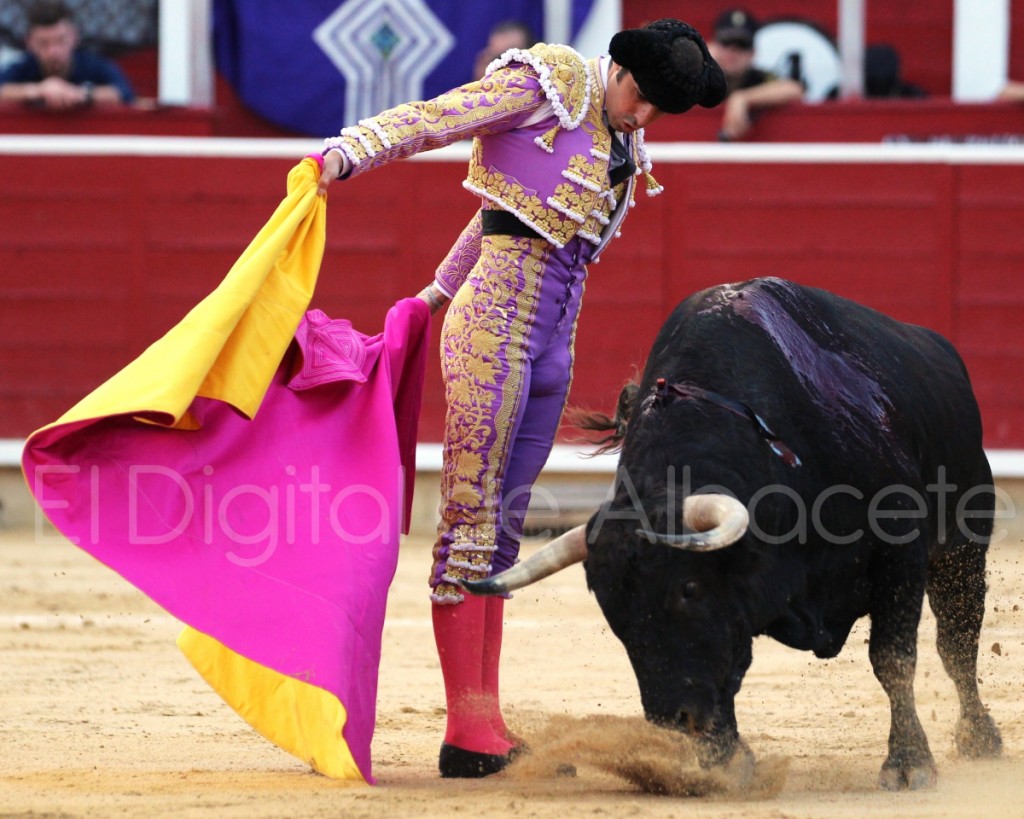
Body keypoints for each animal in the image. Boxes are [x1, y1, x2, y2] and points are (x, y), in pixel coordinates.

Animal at [464, 278, 999, 790]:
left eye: (688, 588)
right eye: (613, 611)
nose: (675, 723)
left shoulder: (899, 551)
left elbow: (892, 658)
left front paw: (908, 764)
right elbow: (726, 668)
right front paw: (723, 763)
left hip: (963, 544)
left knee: (957, 642)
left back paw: (980, 738)